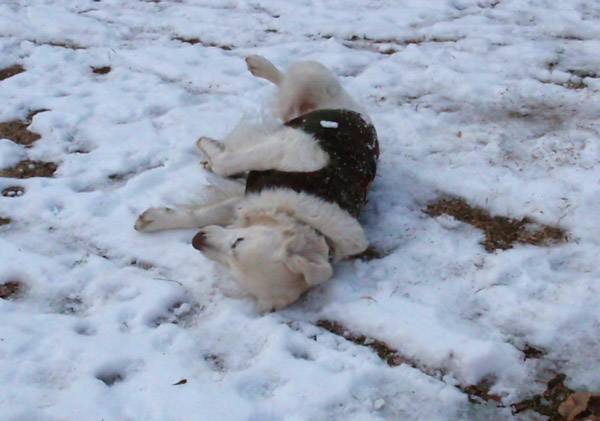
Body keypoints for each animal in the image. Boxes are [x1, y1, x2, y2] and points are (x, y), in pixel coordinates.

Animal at [136, 55, 380, 312]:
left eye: (231, 264)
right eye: (238, 241)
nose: (196, 240)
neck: (307, 221)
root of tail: (362, 116)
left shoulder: (251, 198)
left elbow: (207, 211)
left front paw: (155, 218)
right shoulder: (299, 150)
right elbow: (225, 166)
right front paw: (209, 147)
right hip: (310, 83)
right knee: (288, 79)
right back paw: (259, 64)